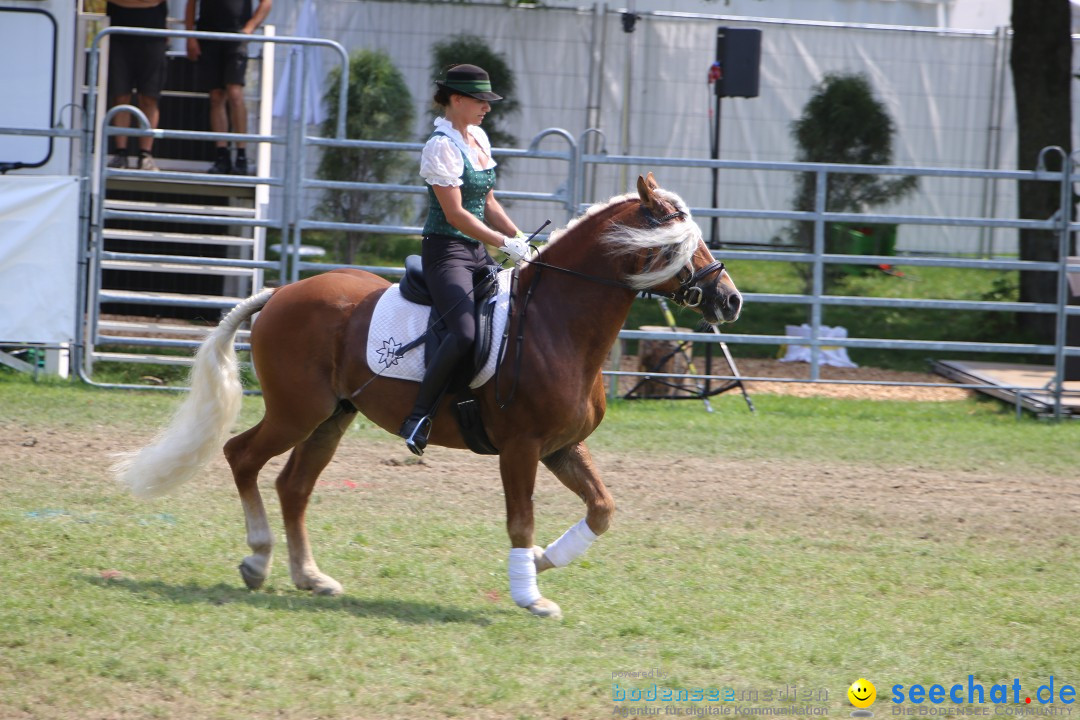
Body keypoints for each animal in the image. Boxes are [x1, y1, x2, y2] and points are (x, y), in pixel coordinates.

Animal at [118, 172, 743, 621]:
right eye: (681, 243)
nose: (731, 300)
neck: (556, 323)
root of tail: (281, 293)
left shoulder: (561, 447)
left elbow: (602, 508)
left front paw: (545, 562)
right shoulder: (521, 448)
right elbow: (521, 520)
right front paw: (530, 595)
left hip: (332, 417)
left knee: (293, 485)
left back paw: (310, 577)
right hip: (297, 412)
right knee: (242, 457)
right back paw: (256, 558)